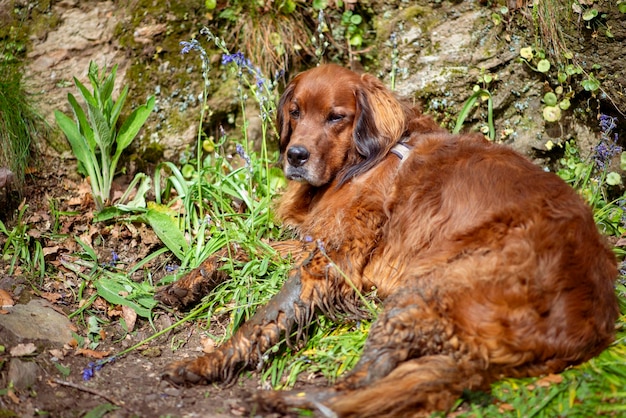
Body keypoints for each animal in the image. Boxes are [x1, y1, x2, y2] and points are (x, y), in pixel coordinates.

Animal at [158, 63, 616, 416]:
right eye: (295, 111)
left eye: (336, 117)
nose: (296, 156)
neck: (362, 161)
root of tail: (590, 322)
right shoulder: (317, 242)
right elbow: (240, 246)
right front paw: (188, 283)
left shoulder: (331, 261)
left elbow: (264, 319)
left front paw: (209, 362)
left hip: (424, 291)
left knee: (362, 379)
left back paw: (289, 402)